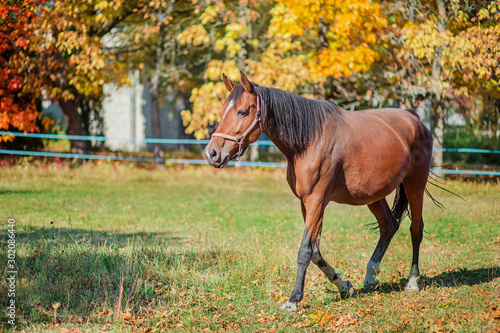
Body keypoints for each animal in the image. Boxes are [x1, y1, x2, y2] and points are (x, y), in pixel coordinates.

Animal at [203, 71, 434, 310]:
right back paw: (370, 276)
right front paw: (345, 286)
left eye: (242, 111)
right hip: (373, 194)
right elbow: (315, 250)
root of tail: (414, 119)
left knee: (415, 230)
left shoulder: (317, 200)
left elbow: (305, 250)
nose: (211, 153)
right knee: (389, 226)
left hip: (415, 185)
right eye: (222, 111)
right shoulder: (307, 203)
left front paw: (293, 299)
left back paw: (412, 282)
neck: (309, 141)